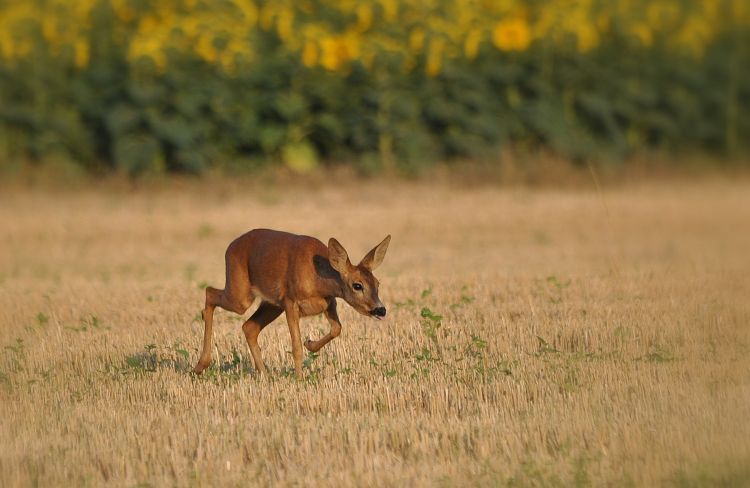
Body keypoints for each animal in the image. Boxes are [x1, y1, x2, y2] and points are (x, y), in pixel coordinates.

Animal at [194, 230, 394, 378]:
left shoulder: (329, 303)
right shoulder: (290, 301)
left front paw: (310, 344)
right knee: (210, 292)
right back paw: (201, 364)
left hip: (272, 304)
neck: (319, 278)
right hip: (241, 294)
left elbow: (337, 329)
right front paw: (299, 379)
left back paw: (264, 375)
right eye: (357, 285)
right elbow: (296, 346)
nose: (380, 309)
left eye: (377, 284)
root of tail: (230, 246)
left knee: (249, 327)